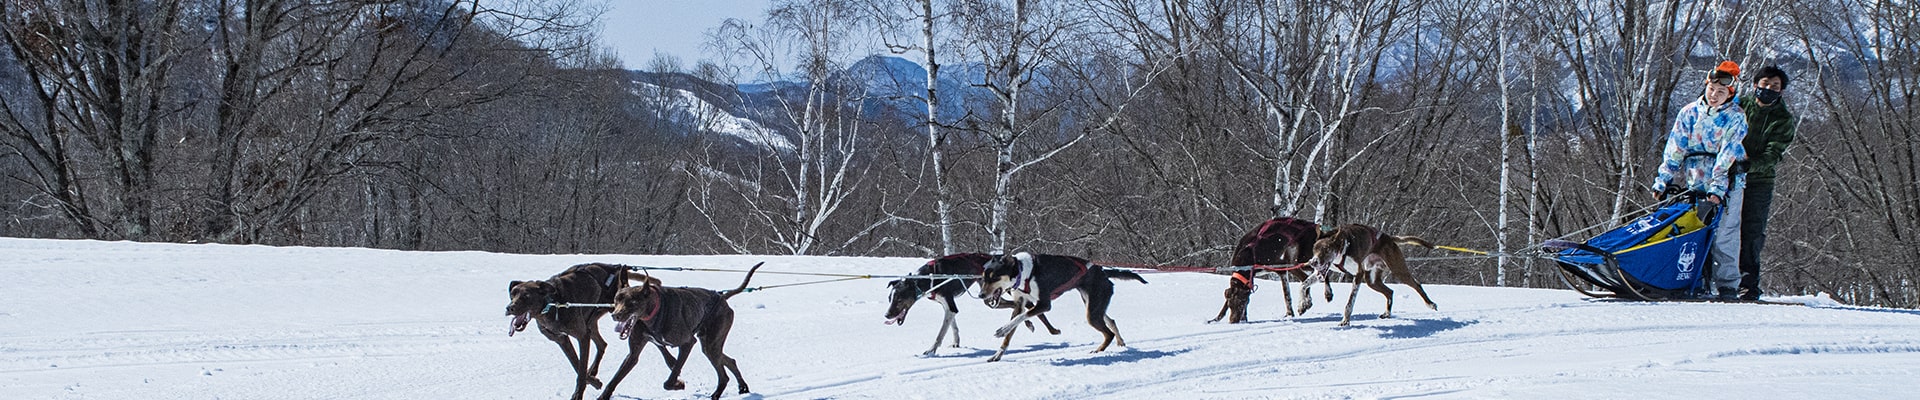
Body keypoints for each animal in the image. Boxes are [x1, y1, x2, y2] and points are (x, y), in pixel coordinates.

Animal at [506, 261, 664, 400]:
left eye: (526, 296)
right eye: (512, 295)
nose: (509, 308)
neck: (552, 304)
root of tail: (614, 268)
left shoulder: (581, 336)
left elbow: (581, 369)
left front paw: (579, 393)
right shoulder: (561, 339)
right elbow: (576, 364)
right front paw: (594, 381)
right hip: (591, 322)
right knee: (602, 344)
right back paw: (593, 370)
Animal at [599, 261, 756, 400]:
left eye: (632, 302)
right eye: (616, 300)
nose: (615, 315)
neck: (654, 312)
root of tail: (722, 297)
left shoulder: (687, 343)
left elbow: (671, 377)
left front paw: (678, 384)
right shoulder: (634, 352)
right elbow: (615, 379)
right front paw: (602, 396)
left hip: (713, 341)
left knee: (723, 375)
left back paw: (717, 394)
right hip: (709, 344)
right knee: (729, 360)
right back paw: (742, 386)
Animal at [883, 253, 1067, 355]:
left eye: (899, 299)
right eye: (889, 299)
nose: (887, 314)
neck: (930, 278)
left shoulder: (949, 305)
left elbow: (940, 333)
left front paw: (931, 350)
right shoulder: (948, 306)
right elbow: (953, 327)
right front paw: (956, 342)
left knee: (1033, 309)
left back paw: (1051, 329)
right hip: (989, 298)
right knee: (1015, 306)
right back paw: (1028, 323)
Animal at [983, 253, 1144, 361]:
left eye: (994, 277)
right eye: (983, 278)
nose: (980, 294)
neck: (1024, 273)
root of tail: (1103, 271)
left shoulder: (1044, 304)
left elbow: (1020, 318)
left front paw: (1002, 330)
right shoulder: (1020, 304)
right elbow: (1012, 329)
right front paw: (997, 354)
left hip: (1092, 312)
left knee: (1108, 334)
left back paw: (1099, 351)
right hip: (1093, 305)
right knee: (1111, 321)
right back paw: (1120, 342)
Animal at [1297, 225, 1436, 325]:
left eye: (1326, 249)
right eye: (1314, 249)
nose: (1313, 262)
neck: (1343, 249)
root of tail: (1390, 238)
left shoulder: (1358, 275)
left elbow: (1350, 302)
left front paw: (1345, 321)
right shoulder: (1319, 273)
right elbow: (1303, 285)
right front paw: (1302, 305)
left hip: (1398, 270)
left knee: (1416, 285)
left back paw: (1430, 303)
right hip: (1372, 280)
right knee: (1389, 291)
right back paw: (1387, 313)